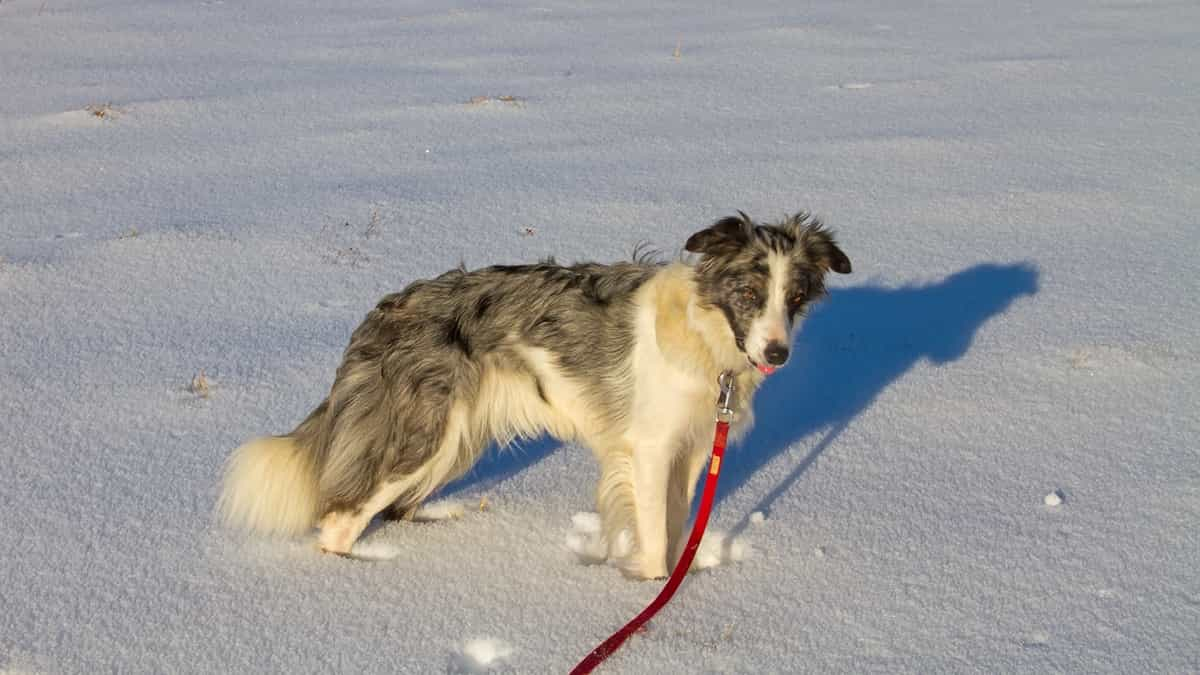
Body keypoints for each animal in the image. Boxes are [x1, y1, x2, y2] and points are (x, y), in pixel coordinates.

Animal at [220, 211, 849, 578]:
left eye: (794, 296)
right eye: (748, 293)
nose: (777, 354)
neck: (703, 332)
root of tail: (385, 312)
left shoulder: (692, 449)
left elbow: (676, 524)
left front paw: (677, 579)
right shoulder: (649, 449)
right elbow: (653, 534)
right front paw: (650, 591)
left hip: (456, 439)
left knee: (395, 507)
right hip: (427, 432)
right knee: (339, 521)